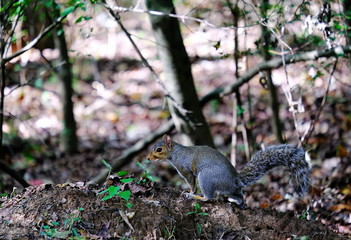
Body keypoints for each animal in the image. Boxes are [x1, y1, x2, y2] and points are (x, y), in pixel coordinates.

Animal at [147, 134, 312, 205]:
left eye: (159, 149)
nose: (148, 159)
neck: (175, 153)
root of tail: (236, 180)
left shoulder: (185, 170)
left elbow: (191, 183)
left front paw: (190, 192)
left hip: (206, 177)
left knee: (209, 198)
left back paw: (197, 197)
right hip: (228, 188)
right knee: (239, 197)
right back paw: (235, 200)